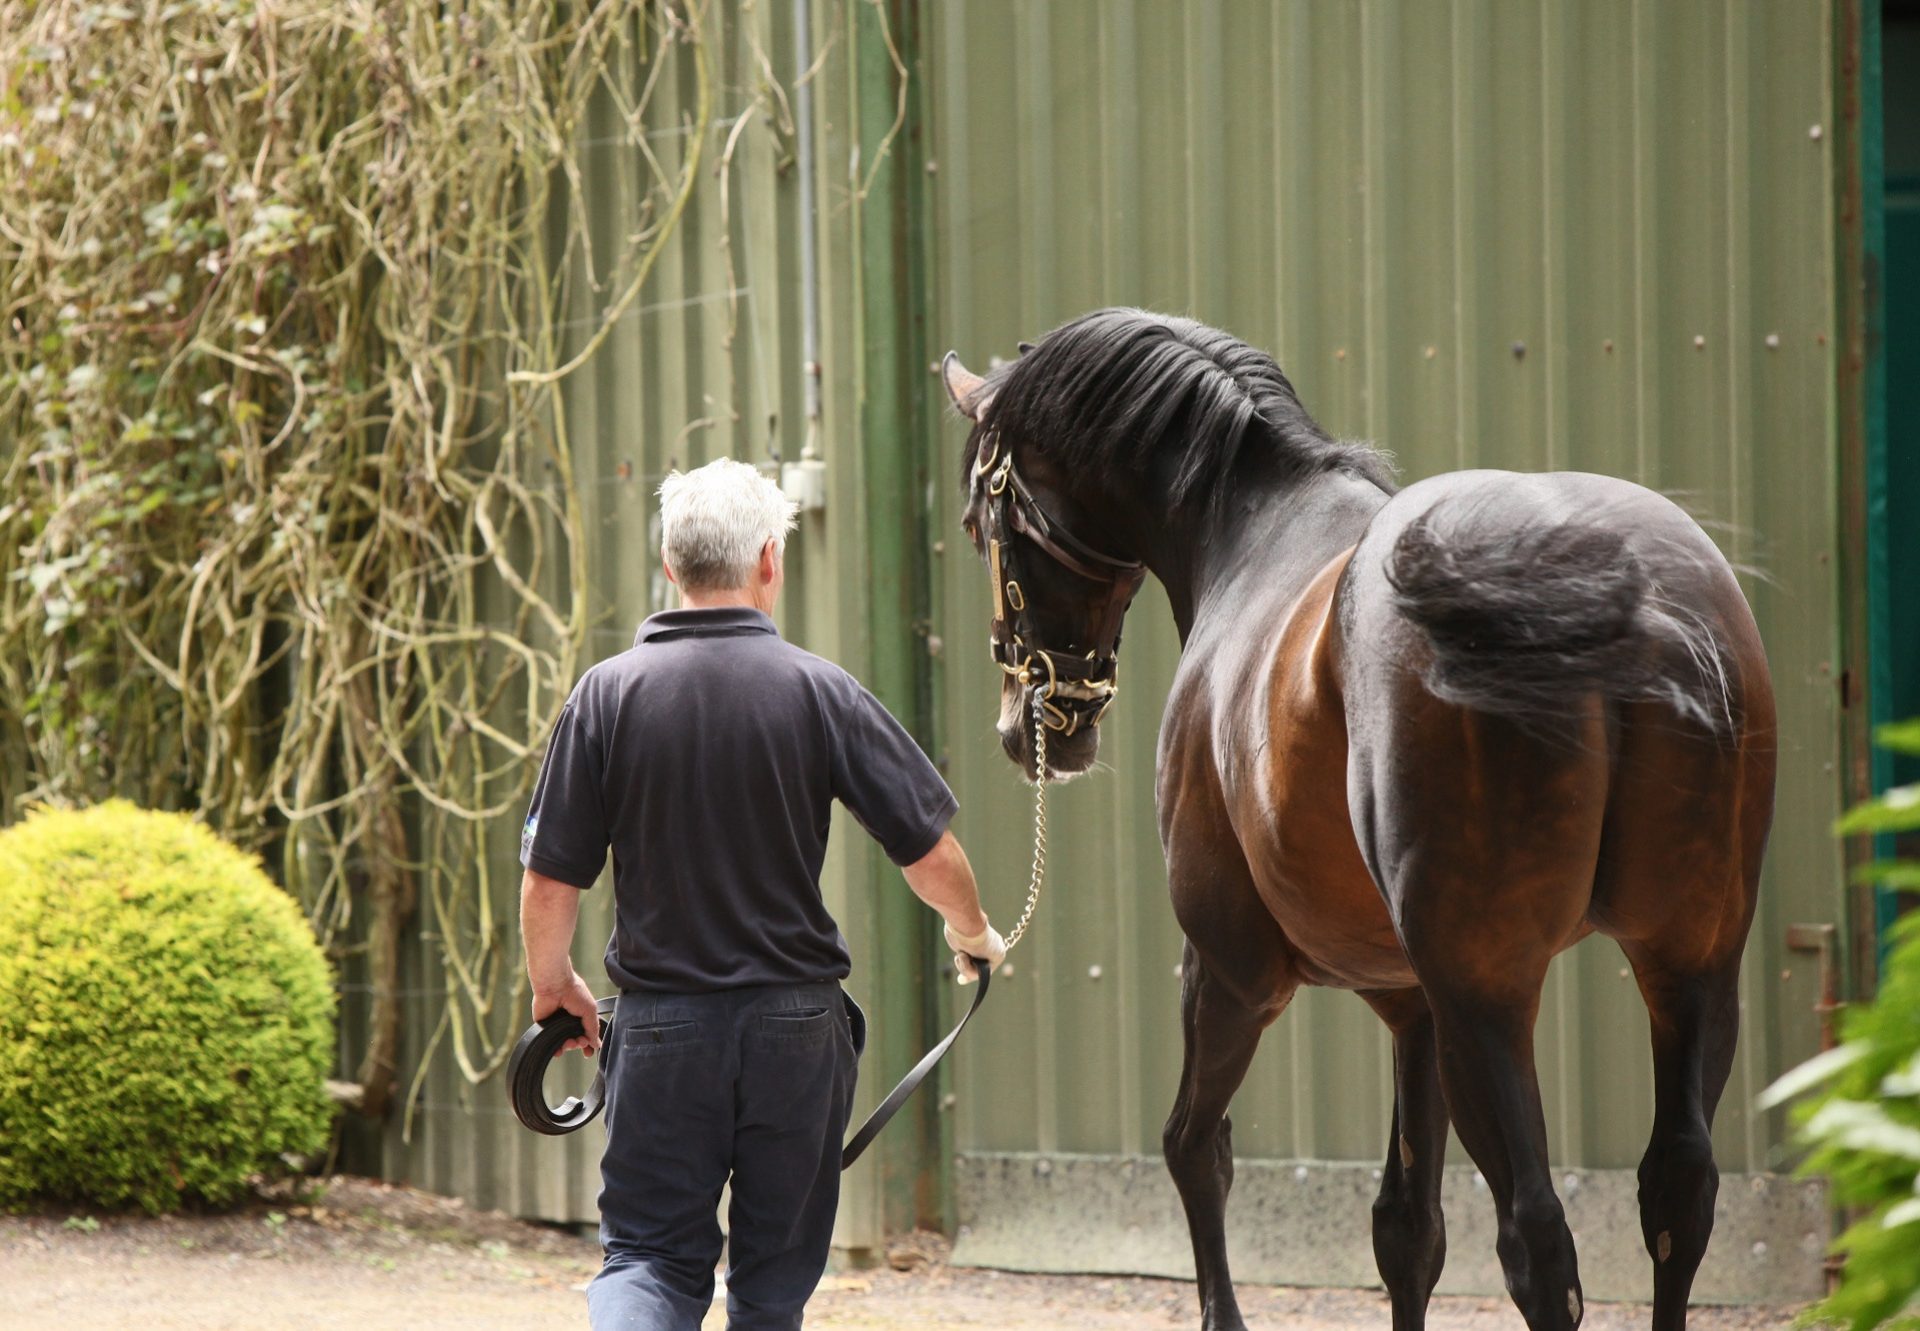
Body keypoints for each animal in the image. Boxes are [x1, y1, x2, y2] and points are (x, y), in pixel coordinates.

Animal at [936, 303, 1774, 1329]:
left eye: (982, 522)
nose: (1031, 723)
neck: (1253, 531)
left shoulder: (1230, 968)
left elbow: (1195, 1147)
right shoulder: (1412, 1007)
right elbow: (1406, 1227)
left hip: (1486, 999)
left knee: (1537, 1237)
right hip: (1690, 967)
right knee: (1677, 1193)